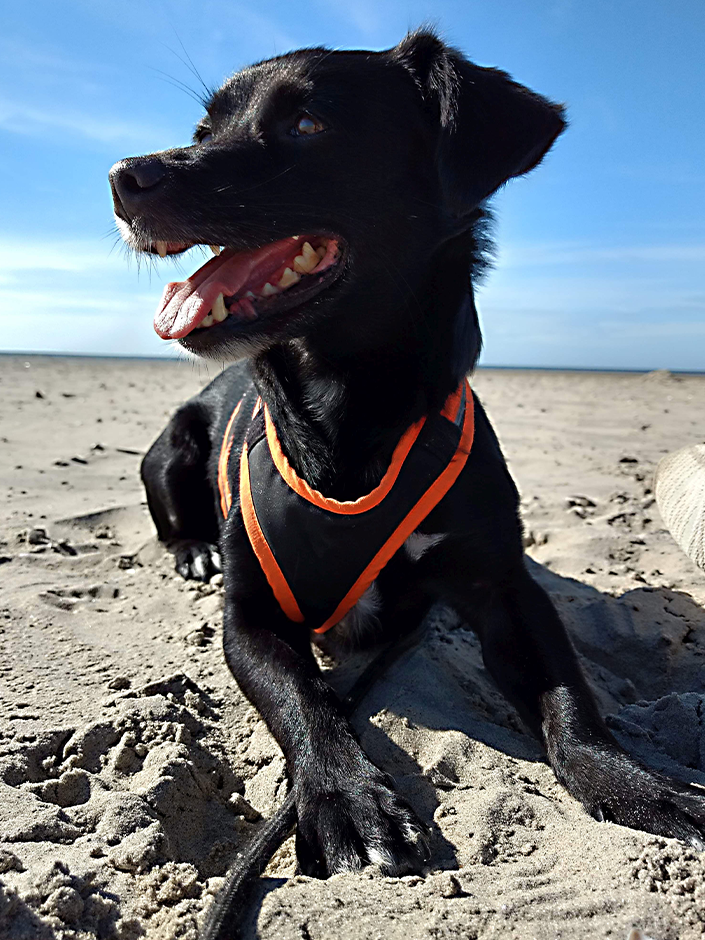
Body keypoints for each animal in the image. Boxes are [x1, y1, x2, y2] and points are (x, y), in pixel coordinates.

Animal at [107, 27, 704, 880]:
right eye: (202, 130)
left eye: (308, 124)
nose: (123, 177)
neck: (353, 406)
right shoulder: (252, 617)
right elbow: (307, 700)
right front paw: (346, 796)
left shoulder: (504, 588)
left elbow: (570, 700)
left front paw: (632, 783)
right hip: (171, 448)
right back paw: (194, 549)